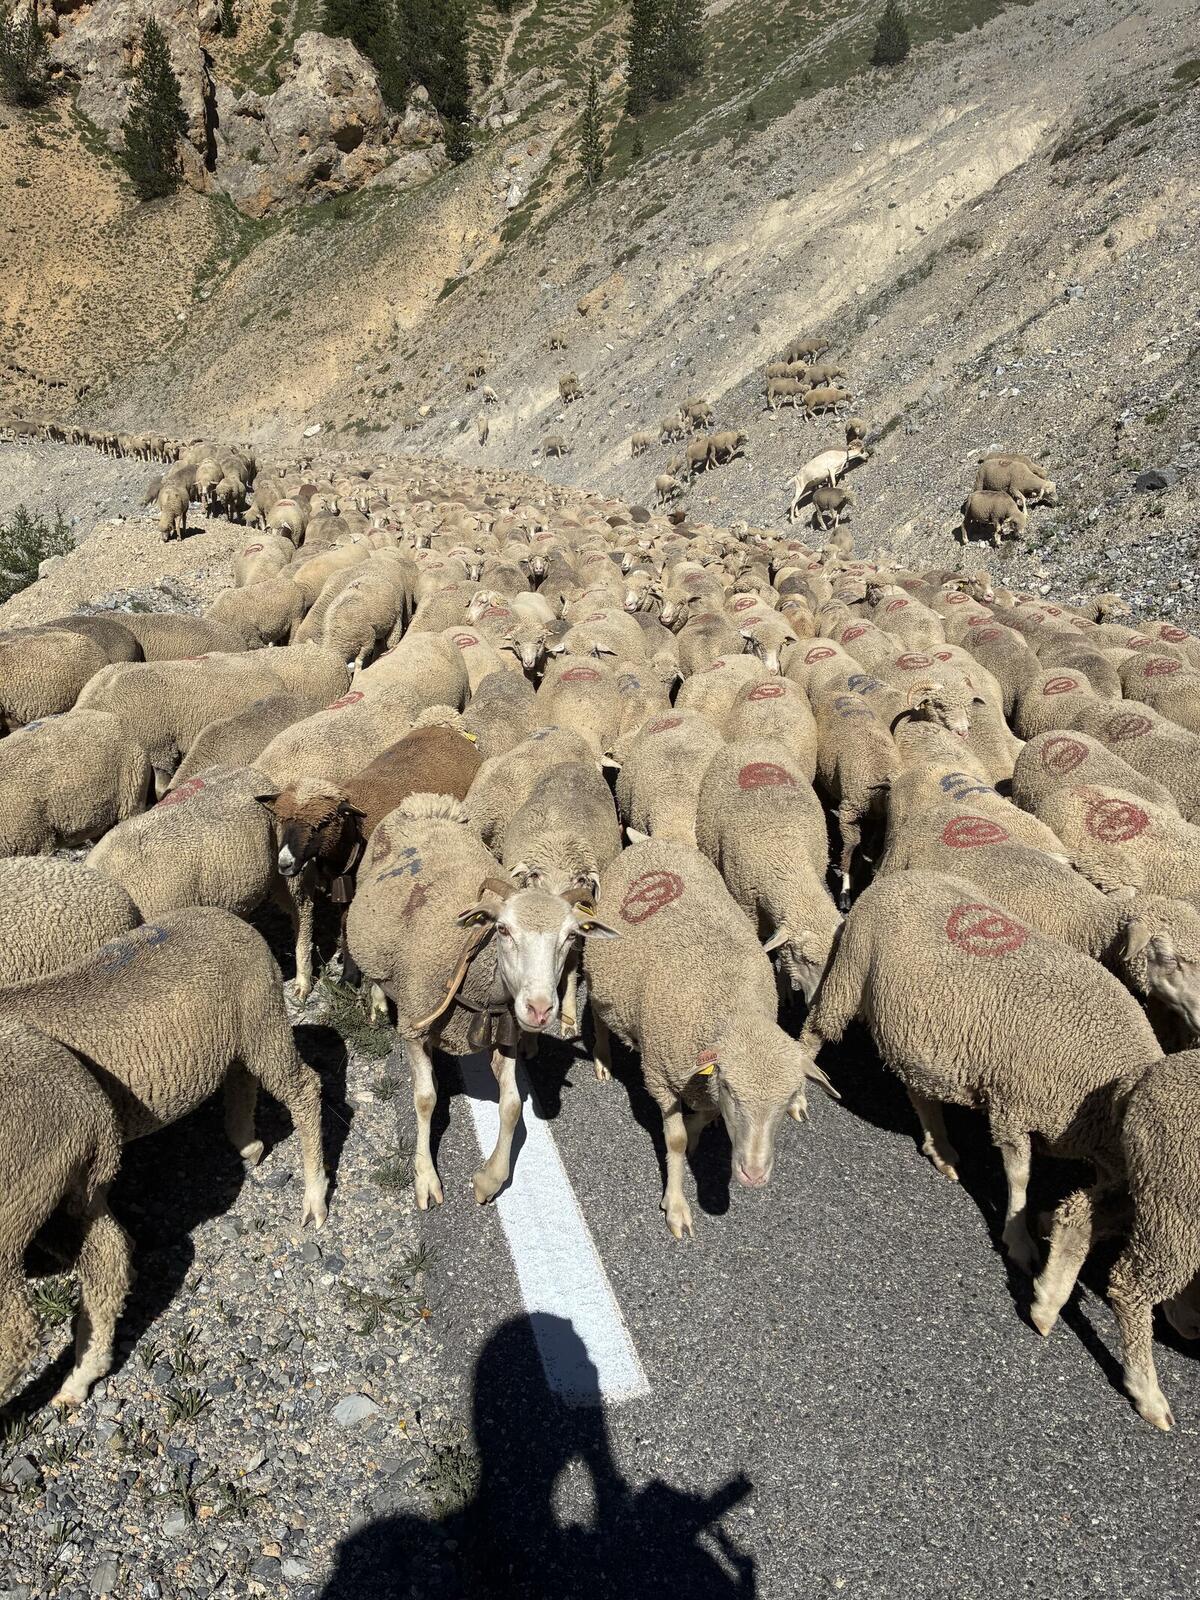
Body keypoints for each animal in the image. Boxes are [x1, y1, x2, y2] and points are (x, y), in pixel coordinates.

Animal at [0, 908, 328, 1240]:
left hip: (263, 1017)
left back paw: (314, 1198)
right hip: (242, 1031)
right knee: (242, 1078)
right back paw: (248, 1145)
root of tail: (232, 919)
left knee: (304, 1088)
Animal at [0, 1022, 131, 1409]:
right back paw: (83, 1375)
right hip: (62, 1193)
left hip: (15, 1198)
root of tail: (92, 1111)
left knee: (18, 1328)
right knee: (107, 1259)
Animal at [347, 795, 616, 1207]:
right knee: (375, 970)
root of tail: (425, 802)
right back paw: (377, 1000)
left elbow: (512, 1106)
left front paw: (489, 1181)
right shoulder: (414, 1024)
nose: (540, 1010)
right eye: (502, 929)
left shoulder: (505, 1034)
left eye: (571, 936)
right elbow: (425, 1099)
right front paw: (426, 1178)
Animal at [584, 839, 833, 1236]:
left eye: (788, 1098)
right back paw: (603, 1058)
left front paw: (699, 1127)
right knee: (598, 1016)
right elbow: (675, 1140)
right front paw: (676, 1206)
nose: (753, 1175)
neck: (734, 1012)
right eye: (732, 1090)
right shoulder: (659, 1076)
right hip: (601, 978)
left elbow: (704, 1116)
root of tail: (654, 841)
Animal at [802, 869, 1163, 1276]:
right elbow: (1020, 1177)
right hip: (850, 970)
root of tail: (901, 877)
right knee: (815, 1029)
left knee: (920, 1092)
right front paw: (1018, 1240)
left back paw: (940, 1148)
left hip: (919, 1031)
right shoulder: (1012, 1105)